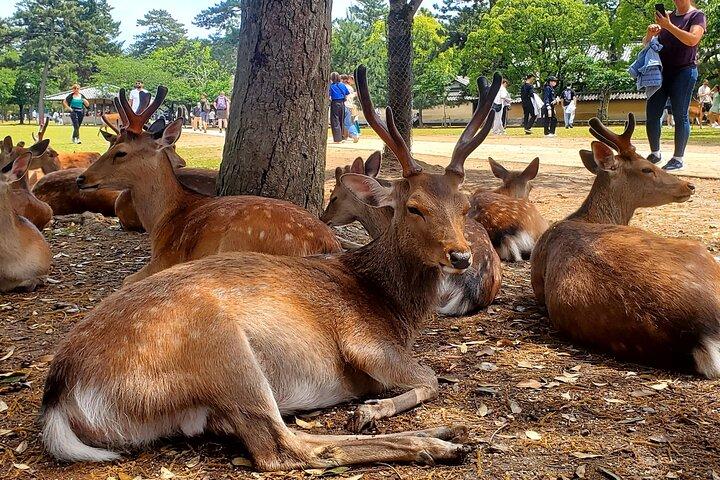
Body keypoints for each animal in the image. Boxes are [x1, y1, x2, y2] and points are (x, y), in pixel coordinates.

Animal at [76, 86, 341, 284]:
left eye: (120, 152)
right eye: (110, 145)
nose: (81, 178)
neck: (162, 219)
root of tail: (329, 245)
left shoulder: (166, 257)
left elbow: (126, 280)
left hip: (238, 243)